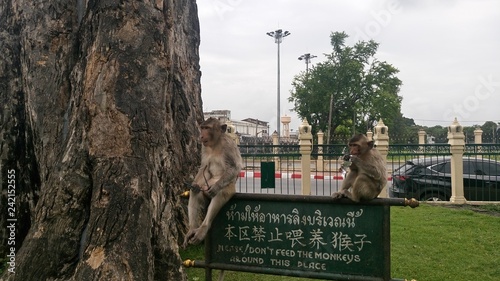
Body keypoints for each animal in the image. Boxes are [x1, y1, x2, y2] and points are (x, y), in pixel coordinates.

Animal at [183, 117, 243, 247]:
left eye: (207, 128)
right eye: (202, 128)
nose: (201, 135)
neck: (215, 143)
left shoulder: (228, 145)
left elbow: (234, 168)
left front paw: (216, 187)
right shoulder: (204, 147)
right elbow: (204, 168)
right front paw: (194, 185)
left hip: (228, 186)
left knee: (220, 193)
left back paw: (203, 228)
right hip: (205, 189)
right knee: (195, 192)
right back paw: (192, 229)